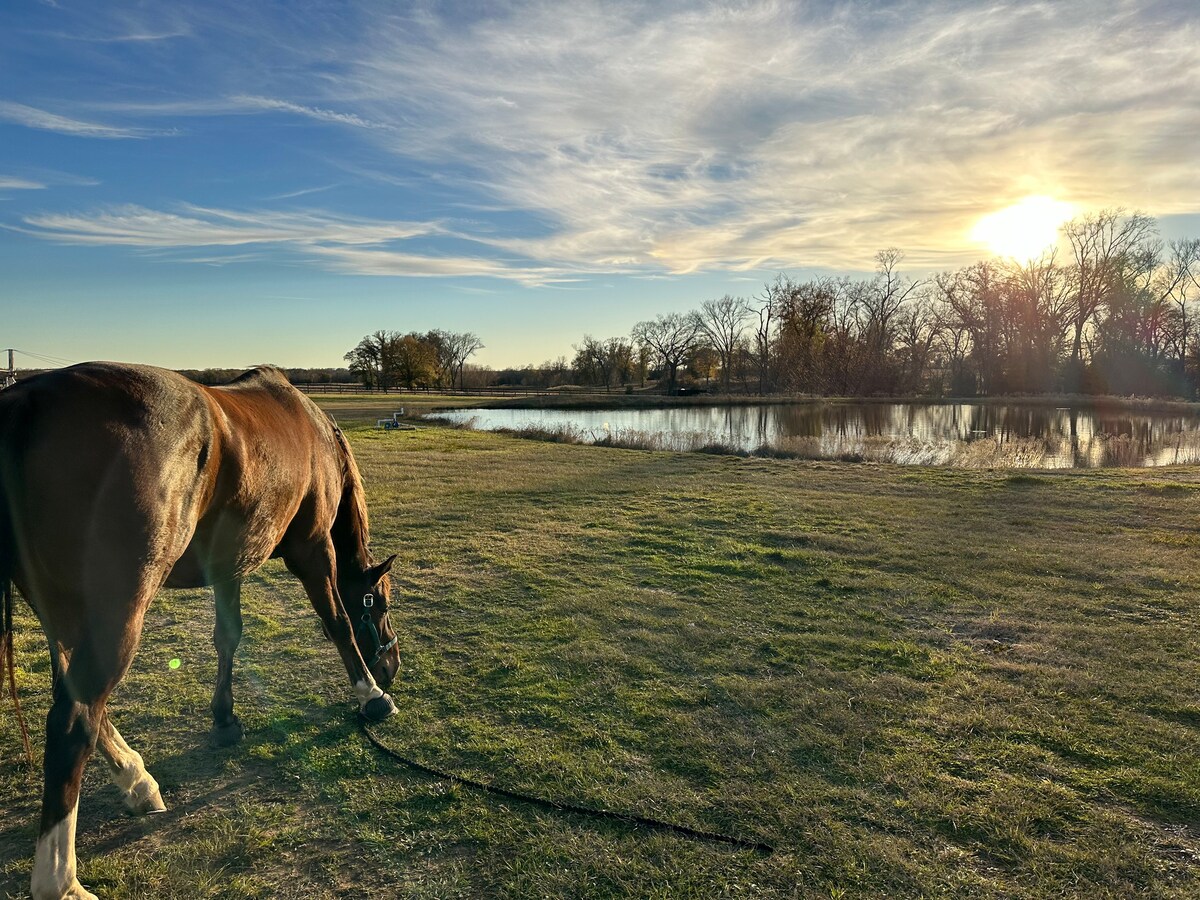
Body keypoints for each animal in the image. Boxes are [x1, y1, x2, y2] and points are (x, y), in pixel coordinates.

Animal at [0, 364, 403, 900]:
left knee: (80, 703)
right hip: (117, 612)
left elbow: (228, 636)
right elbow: (336, 623)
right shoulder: (314, 549)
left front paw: (225, 719)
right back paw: (61, 882)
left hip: (60, 611)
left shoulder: (230, 563)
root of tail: (27, 399)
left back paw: (137, 780)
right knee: (73, 721)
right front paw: (372, 695)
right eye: (379, 602)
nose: (393, 666)